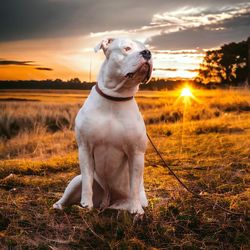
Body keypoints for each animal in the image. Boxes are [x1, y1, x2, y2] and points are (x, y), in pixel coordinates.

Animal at [52, 38, 152, 214]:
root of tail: (107, 201)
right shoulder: (85, 148)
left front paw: (136, 209)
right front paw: (86, 203)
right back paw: (60, 206)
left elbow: (134, 184)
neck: (115, 97)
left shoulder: (136, 153)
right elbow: (87, 180)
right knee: (69, 195)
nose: (147, 53)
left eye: (146, 48)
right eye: (127, 48)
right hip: (75, 181)